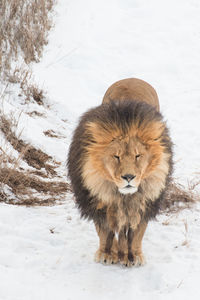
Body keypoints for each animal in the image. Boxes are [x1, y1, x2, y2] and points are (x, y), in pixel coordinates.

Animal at [67, 77, 173, 268]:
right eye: (116, 156)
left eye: (138, 155)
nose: (129, 177)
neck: (122, 196)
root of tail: (132, 78)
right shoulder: (99, 200)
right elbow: (104, 231)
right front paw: (107, 253)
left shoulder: (144, 202)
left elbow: (137, 233)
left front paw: (134, 255)